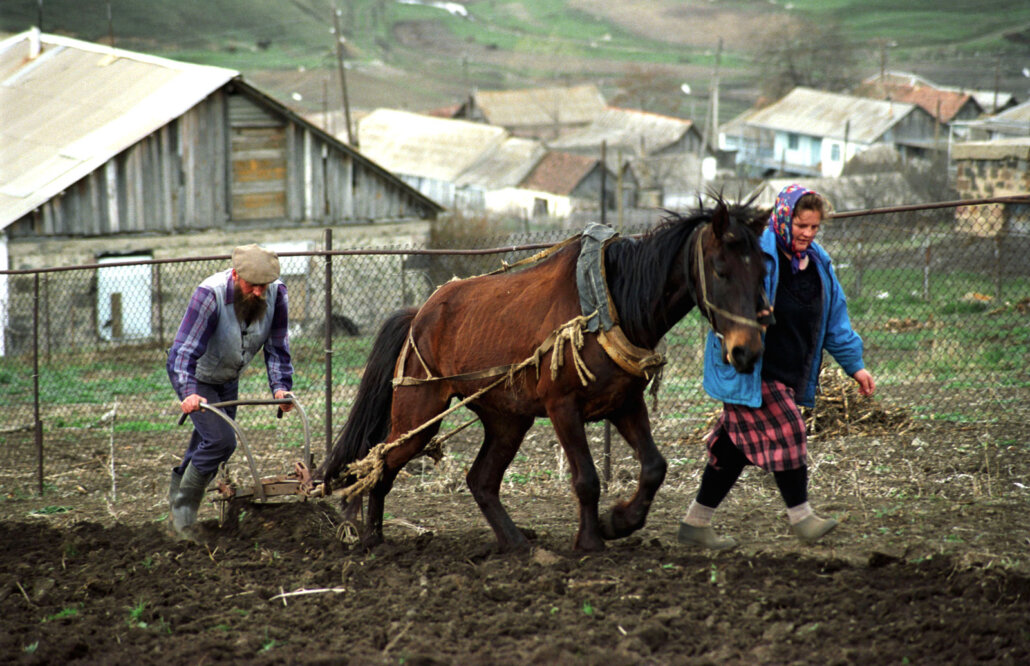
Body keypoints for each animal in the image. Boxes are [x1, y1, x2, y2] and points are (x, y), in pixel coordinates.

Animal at [323, 197, 774, 551]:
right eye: (720, 269)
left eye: (763, 271)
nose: (747, 352)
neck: (606, 303)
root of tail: (420, 313)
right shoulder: (563, 407)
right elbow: (587, 478)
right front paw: (590, 541)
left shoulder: (624, 403)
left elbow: (654, 467)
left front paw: (618, 523)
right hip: (419, 413)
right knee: (380, 462)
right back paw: (371, 537)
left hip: (508, 419)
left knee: (480, 480)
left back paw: (516, 544)